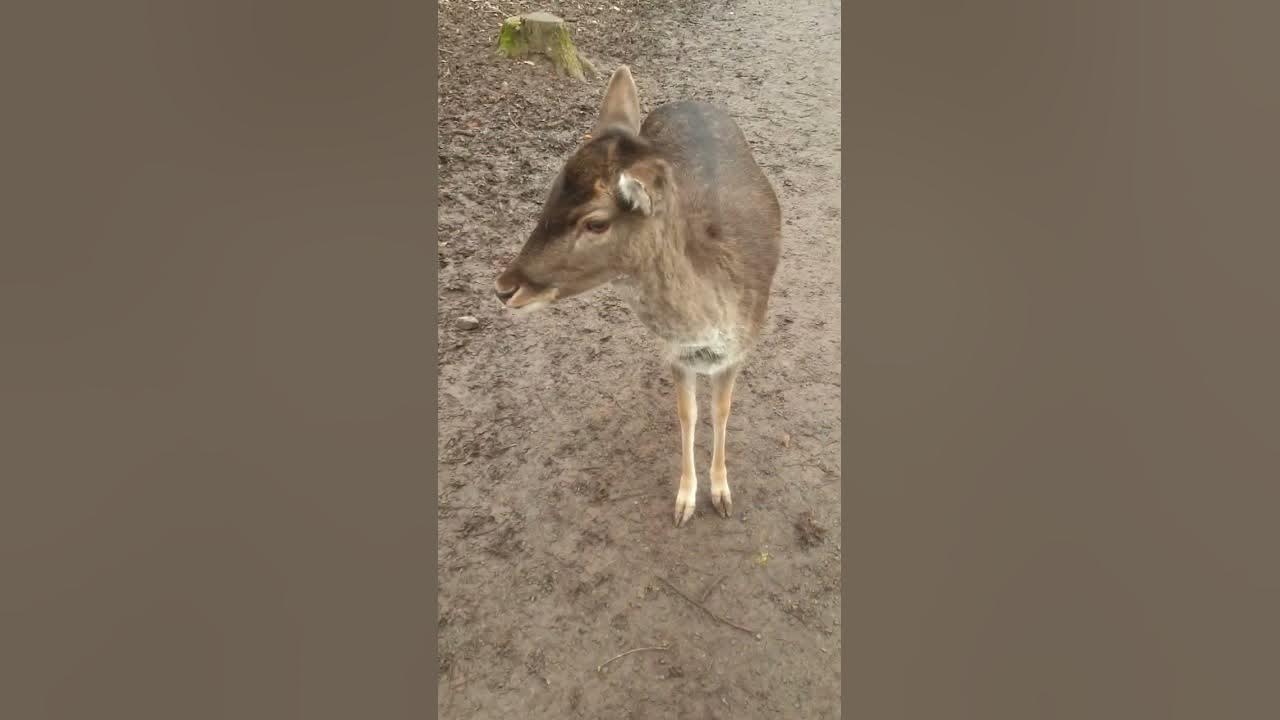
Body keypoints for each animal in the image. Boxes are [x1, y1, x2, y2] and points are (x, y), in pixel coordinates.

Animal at [494, 66, 782, 527]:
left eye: (595, 223)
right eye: (549, 197)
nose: (505, 287)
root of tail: (689, 101)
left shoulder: (739, 348)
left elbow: (721, 411)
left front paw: (721, 494)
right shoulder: (677, 354)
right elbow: (687, 414)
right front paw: (685, 500)